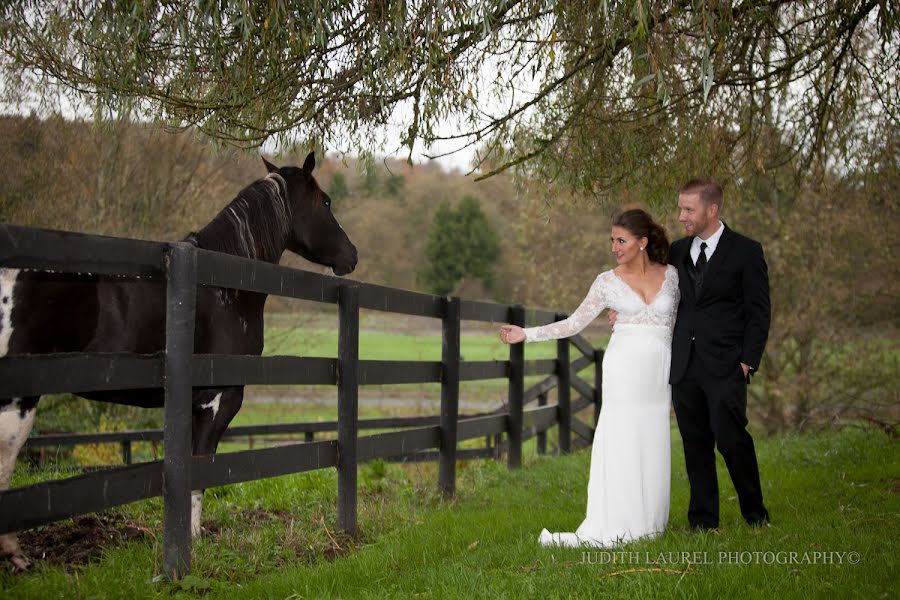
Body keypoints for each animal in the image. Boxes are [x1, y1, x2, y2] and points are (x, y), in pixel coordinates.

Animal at [0, 152, 358, 568]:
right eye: (326, 202)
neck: (223, 283)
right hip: (18, 398)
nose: (351, 256)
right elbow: (200, 469)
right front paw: (194, 541)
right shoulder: (218, 399)